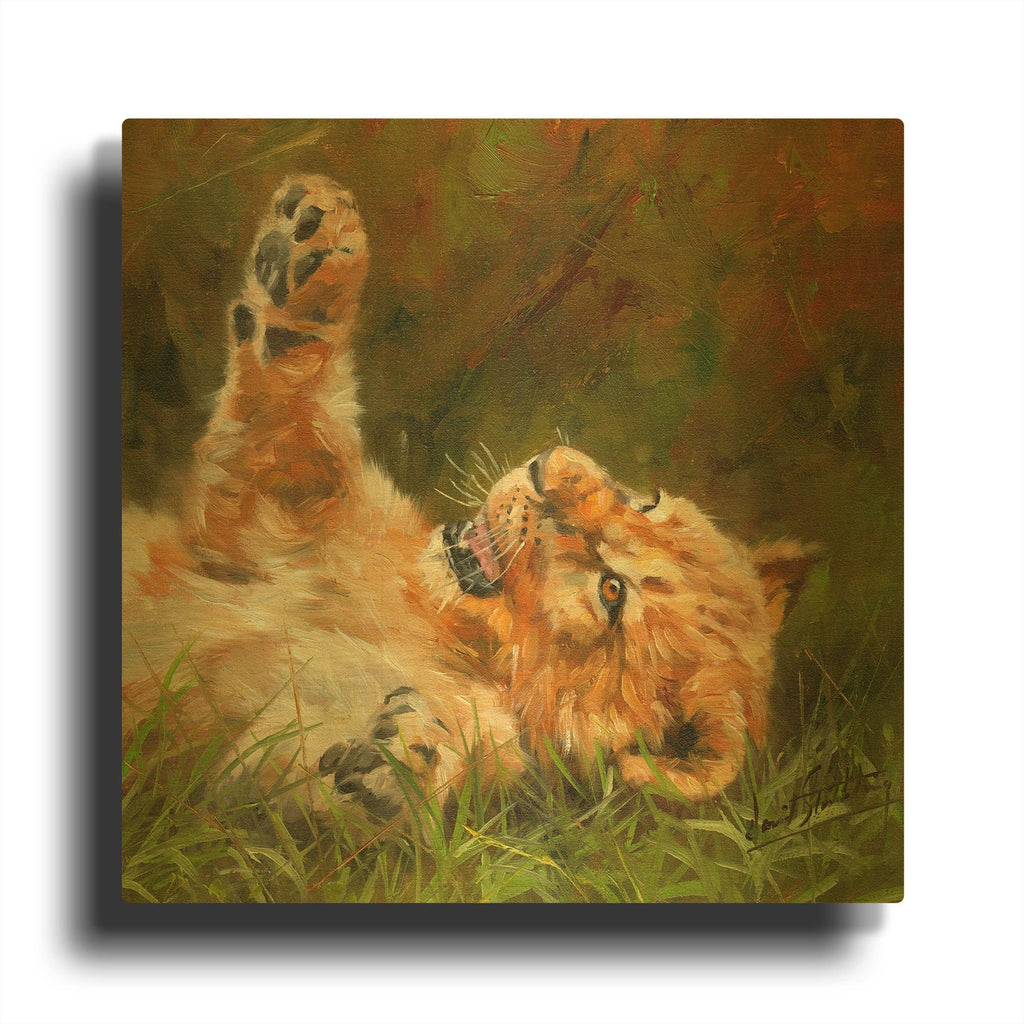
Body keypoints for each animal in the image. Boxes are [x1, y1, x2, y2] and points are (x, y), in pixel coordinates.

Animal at [123, 175, 816, 822]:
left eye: (613, 592)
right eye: (646, 499)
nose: (545, 471)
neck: (428, 616)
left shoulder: (220, 751)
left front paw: (399, 762)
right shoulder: (268, 517)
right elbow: (296, 413)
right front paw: (312, 238)